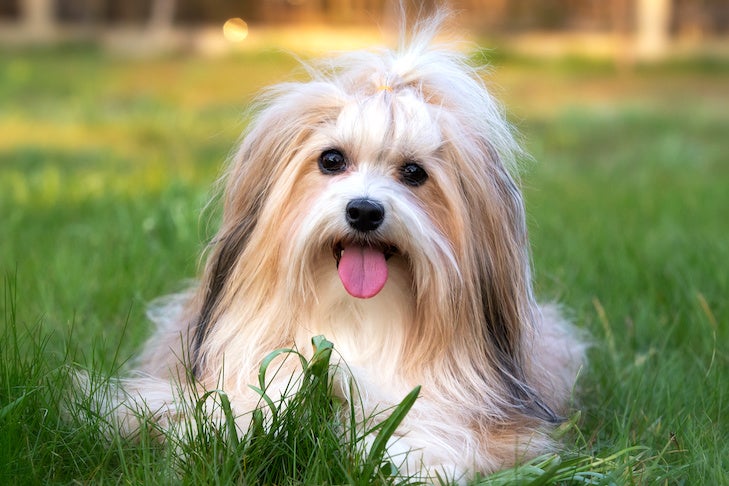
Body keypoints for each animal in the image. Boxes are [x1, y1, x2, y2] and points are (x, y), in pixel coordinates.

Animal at [86, 13, 584, 484]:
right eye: (331, 160)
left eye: (414, 172)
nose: (364, 210)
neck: (356, 316)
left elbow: (432, 432)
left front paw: (404, 461)